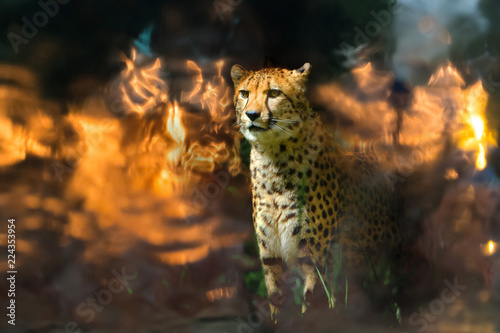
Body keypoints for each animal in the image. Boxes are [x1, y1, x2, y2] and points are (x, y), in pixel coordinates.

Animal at [232, 61, 404, 320]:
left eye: (274, 93)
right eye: (244, 94)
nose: (251, 115)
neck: (272, 160)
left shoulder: (315, 259)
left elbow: (313, 304)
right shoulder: (271, 258)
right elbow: (276, 303)